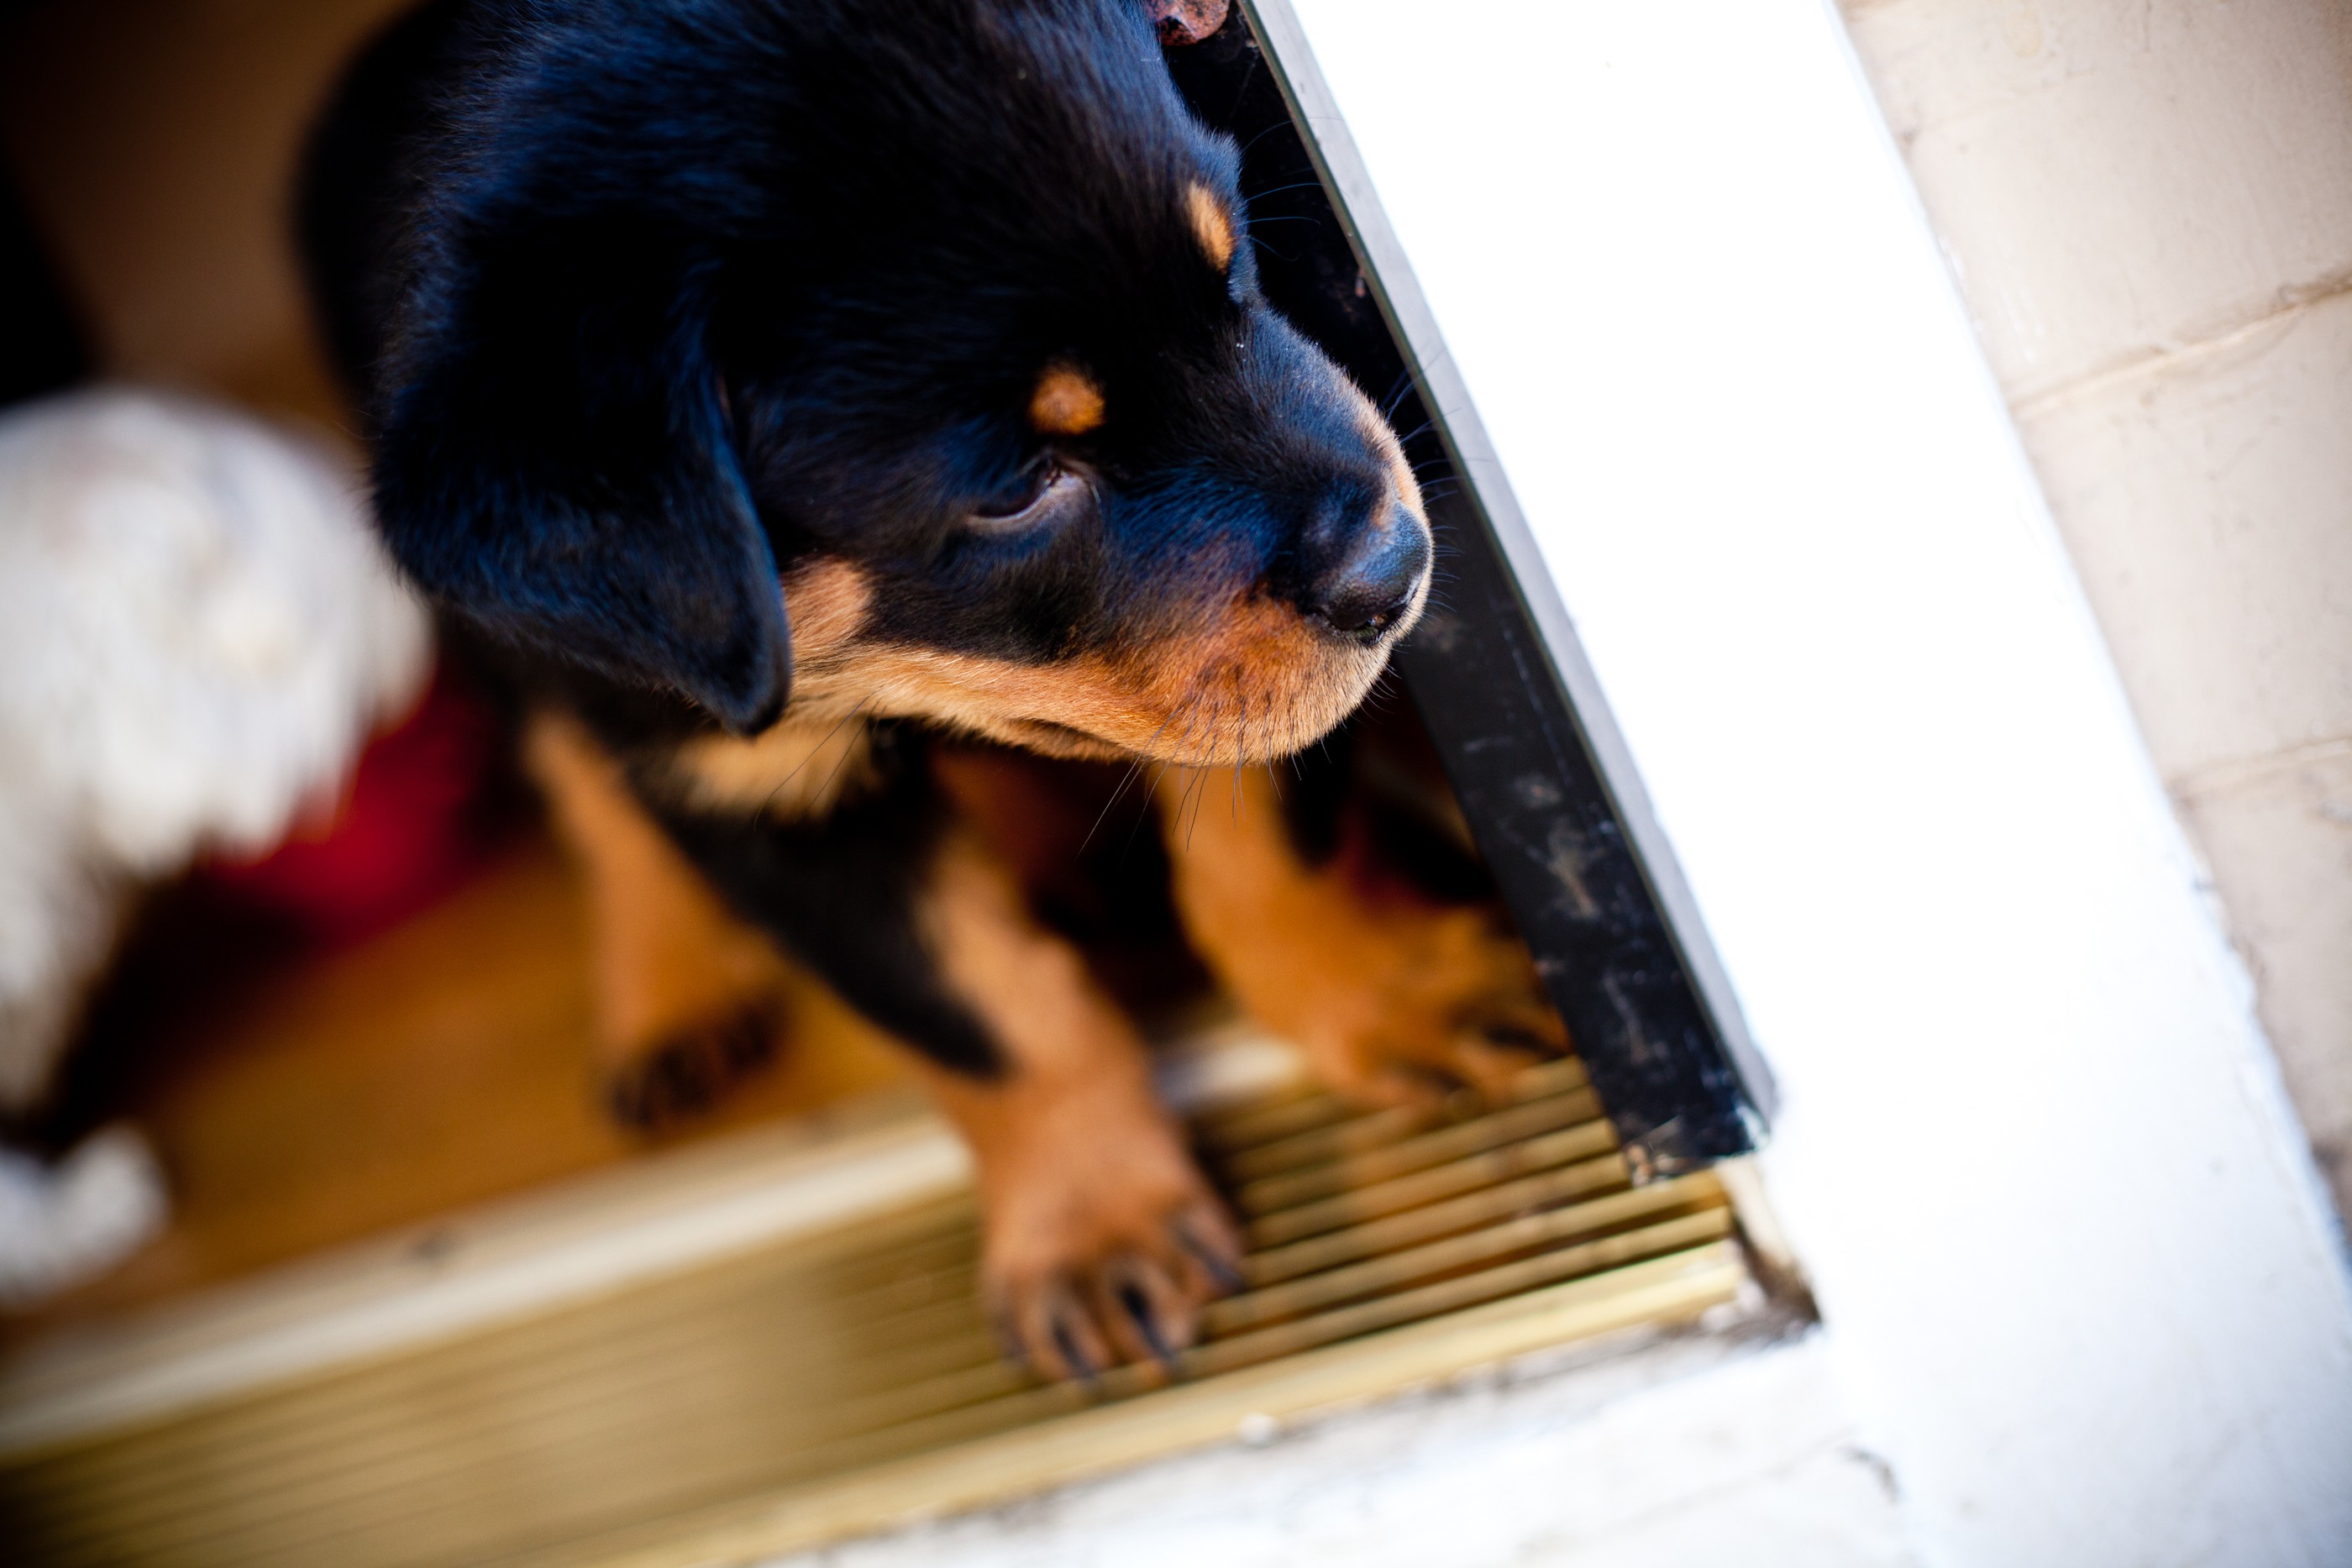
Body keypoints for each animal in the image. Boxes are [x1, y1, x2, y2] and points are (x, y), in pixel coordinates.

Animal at [307, 0, 1562, 1372]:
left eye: (1233, 276)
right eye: (1013, 488)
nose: (1395, 565)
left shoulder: (1226, 681)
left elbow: (1271, 846)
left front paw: (1389, 990)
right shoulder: (760, 795)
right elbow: (978, 1006)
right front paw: (1093, 1225)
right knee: (581, 779)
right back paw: (666, 990)